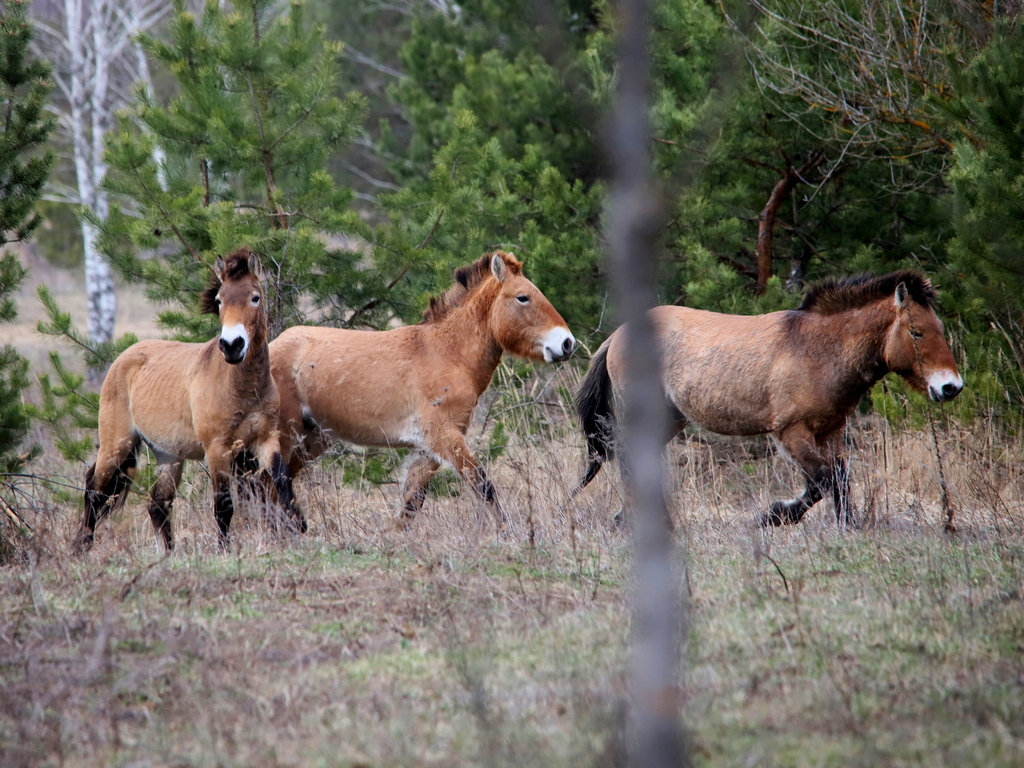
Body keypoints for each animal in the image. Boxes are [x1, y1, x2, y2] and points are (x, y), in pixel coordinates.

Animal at [74, 249, 303, 557]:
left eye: (255, 297)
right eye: (219, 300)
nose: (232, 345)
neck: (241, 387)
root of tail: (124, 357)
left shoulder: (265, 440)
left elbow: (283, 482)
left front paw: (300, 527)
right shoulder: (218, 450)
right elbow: (223, 506)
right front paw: (224, 551)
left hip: (168, 455)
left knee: (157, 503)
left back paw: (169, 554)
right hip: (117, 444)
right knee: (94, 488)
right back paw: (82, 545)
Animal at [270, 250, 577, 528]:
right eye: (523, 297)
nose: (567, 343)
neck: (447, 353)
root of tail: (269, 347)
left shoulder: (425, 452)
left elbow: (410, 505)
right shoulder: (445, 438)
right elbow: (484, 486)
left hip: (313, 438)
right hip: (285, 435)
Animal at [573, 270, 962, 528]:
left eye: (941, 330)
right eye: (916, 332)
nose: (951, 387)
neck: (818, 349)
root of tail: (617, 335)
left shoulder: (832, 430)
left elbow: (840, 478)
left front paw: (847, 525)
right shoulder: (792, 432)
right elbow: (821, 481)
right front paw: (773, 515)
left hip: (670, 419)